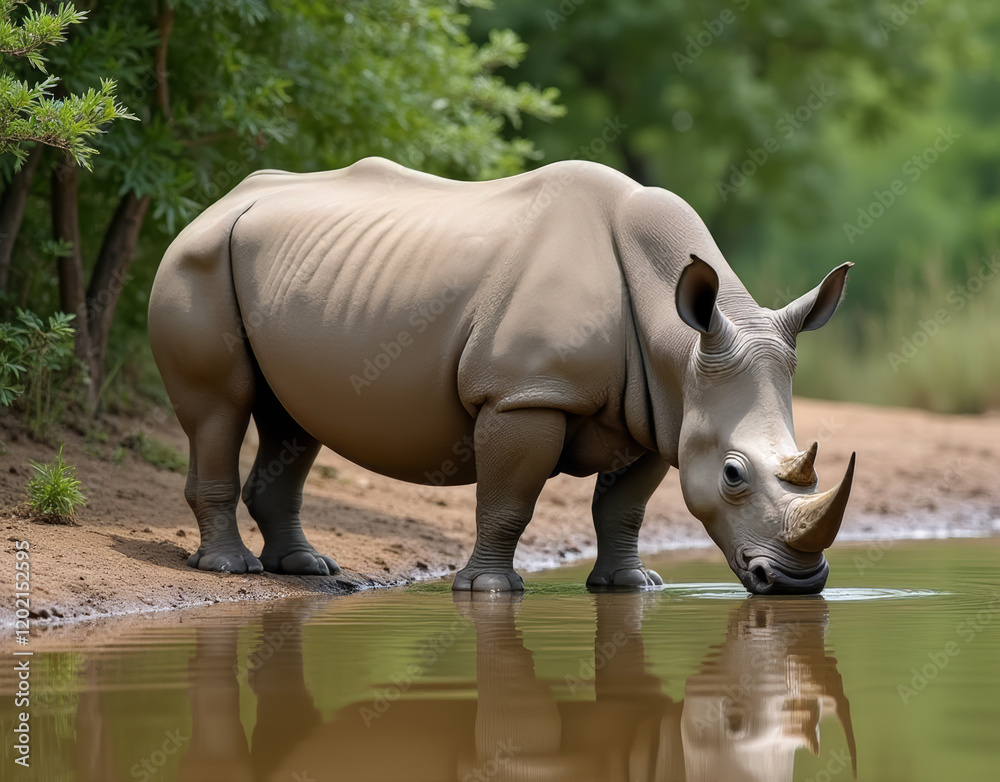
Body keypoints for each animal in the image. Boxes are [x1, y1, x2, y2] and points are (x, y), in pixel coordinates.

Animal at [149, 157, 855, 595]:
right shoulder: (524, 394)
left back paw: (304, 569)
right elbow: (509, 499)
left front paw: (631, 586)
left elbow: (624, 508)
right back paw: (231, 570)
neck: (678, 345)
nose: (797, 585)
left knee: (291, 421)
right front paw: (489, 589)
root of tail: (220, 201)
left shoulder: (661, 413)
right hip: (195, 259)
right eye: (734, 475)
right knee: (220, 408)